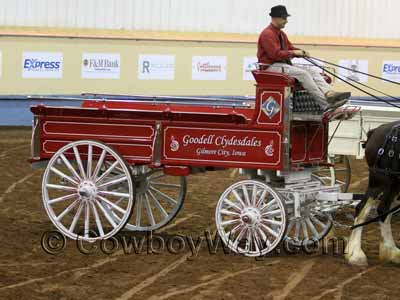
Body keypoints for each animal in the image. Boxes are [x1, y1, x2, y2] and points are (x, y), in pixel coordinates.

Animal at [344, 119, 400, 264]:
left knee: (384, 210)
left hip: (394, 184)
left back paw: (391, 251)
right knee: (364, 208)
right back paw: (356, 254)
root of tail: (376, 131)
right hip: (379, 181)